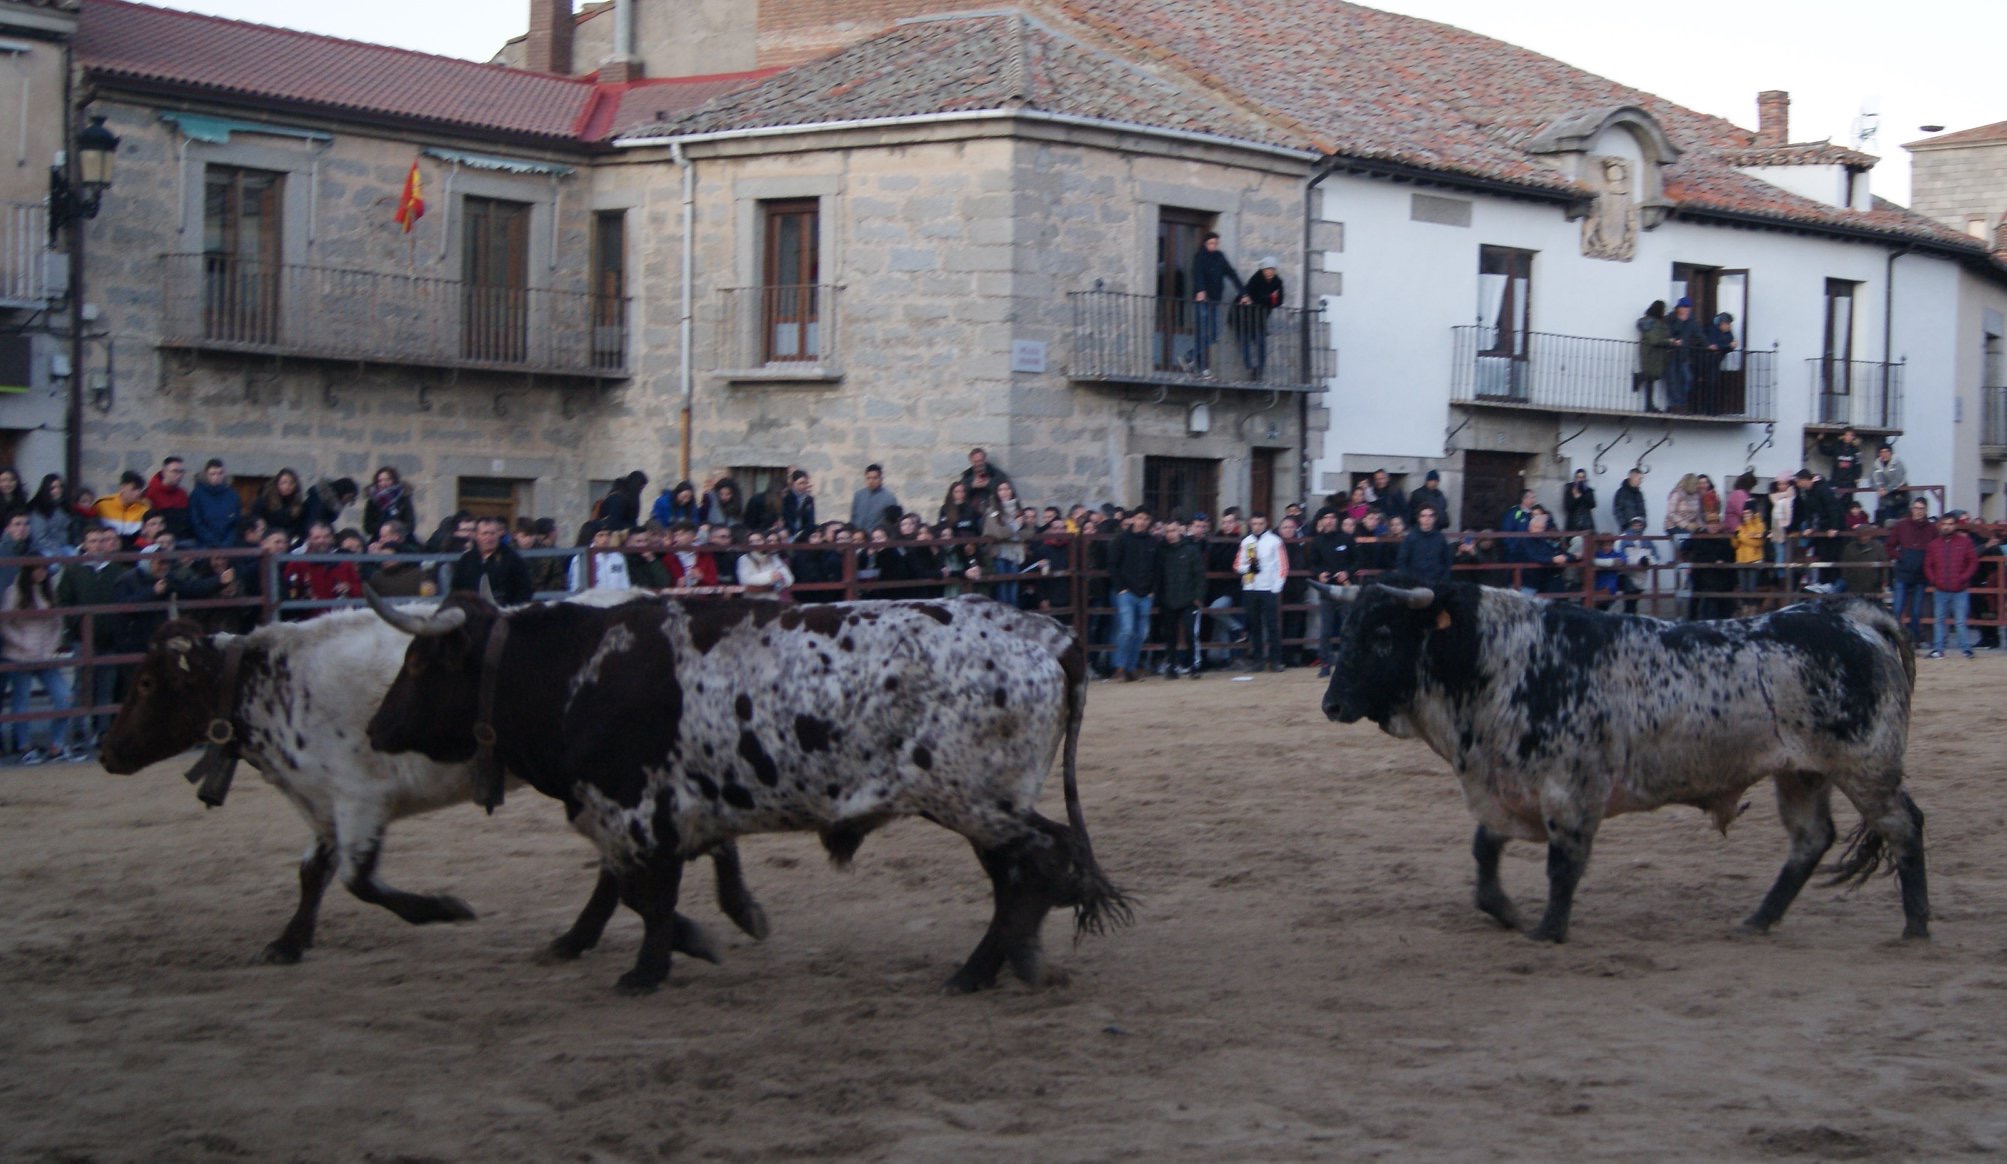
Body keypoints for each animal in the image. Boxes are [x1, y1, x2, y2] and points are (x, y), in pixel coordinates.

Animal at [99, 609, 769, 965]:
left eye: (148, 684)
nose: (106, 753)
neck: (277, 683)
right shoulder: (323, 805)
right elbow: (314, 875)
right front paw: (288, 943)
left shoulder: (358, 800)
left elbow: (360, 881)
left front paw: (443, 908)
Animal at [364, 589, 1130, 996]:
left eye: (418, 663)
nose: (375, 727)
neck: (582, 669)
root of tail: (1045, 634)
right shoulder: (645, 814)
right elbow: (627, 888)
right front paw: (593, 941)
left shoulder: (634, 810)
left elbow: (646, 897)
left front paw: (651, 966)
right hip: (981, 808)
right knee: (1020, 877)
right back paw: (992, 965)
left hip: (974, 802)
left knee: (1044, 862)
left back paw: (988, 966)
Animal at [1315, 579, 1928, 944]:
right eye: (1346, 630)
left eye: (1383, 635)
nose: (1331, 704)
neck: (1498, 660)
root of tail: (1849, 617)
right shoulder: (1508, 787)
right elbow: (1485, 849)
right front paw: (1505, 910)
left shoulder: (1570, 792)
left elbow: (1563, 865)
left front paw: (1548, 931)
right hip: (1802, 773)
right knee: (1810, 839)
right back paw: (1758, 920)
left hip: (1865, 767)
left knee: (1903, 826)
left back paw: (1916, 925)